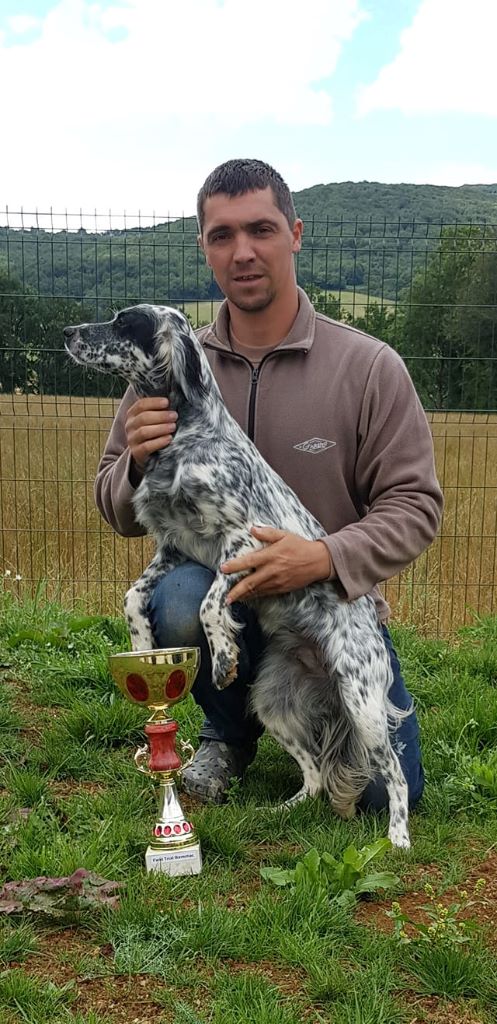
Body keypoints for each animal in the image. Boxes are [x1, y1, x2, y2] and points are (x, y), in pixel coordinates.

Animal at [64, 303, 409, 847]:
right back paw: (285, 811)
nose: (67, 332)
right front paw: (142, 648)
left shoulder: (243, 542)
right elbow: (132, 595)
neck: (183, 437)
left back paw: (398, 838)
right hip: (274, 705)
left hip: (363, 701)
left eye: (125, 323)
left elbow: (209, 603)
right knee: (315, 771)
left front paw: (223, 655)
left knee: (394, 772)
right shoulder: (173, 546)